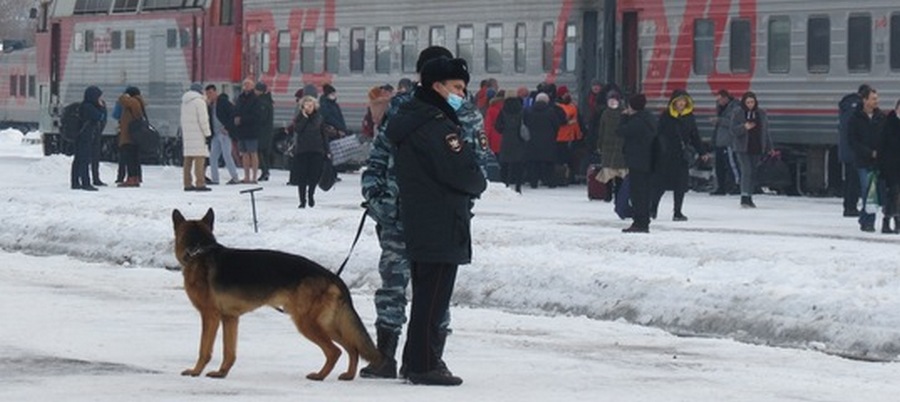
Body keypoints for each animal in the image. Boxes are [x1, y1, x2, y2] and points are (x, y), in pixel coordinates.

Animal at [171, 209, 380, 382]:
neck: (199, 249)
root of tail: (331, 276)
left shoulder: (210, 316)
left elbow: (204, 349)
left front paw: (195, 371)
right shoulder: (230, 318)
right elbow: (229, 351)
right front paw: (222, 373)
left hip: (307, 323)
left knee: (334, 351)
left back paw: (320, 376)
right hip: (326, 324)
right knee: (352, 348)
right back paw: (348, 375)